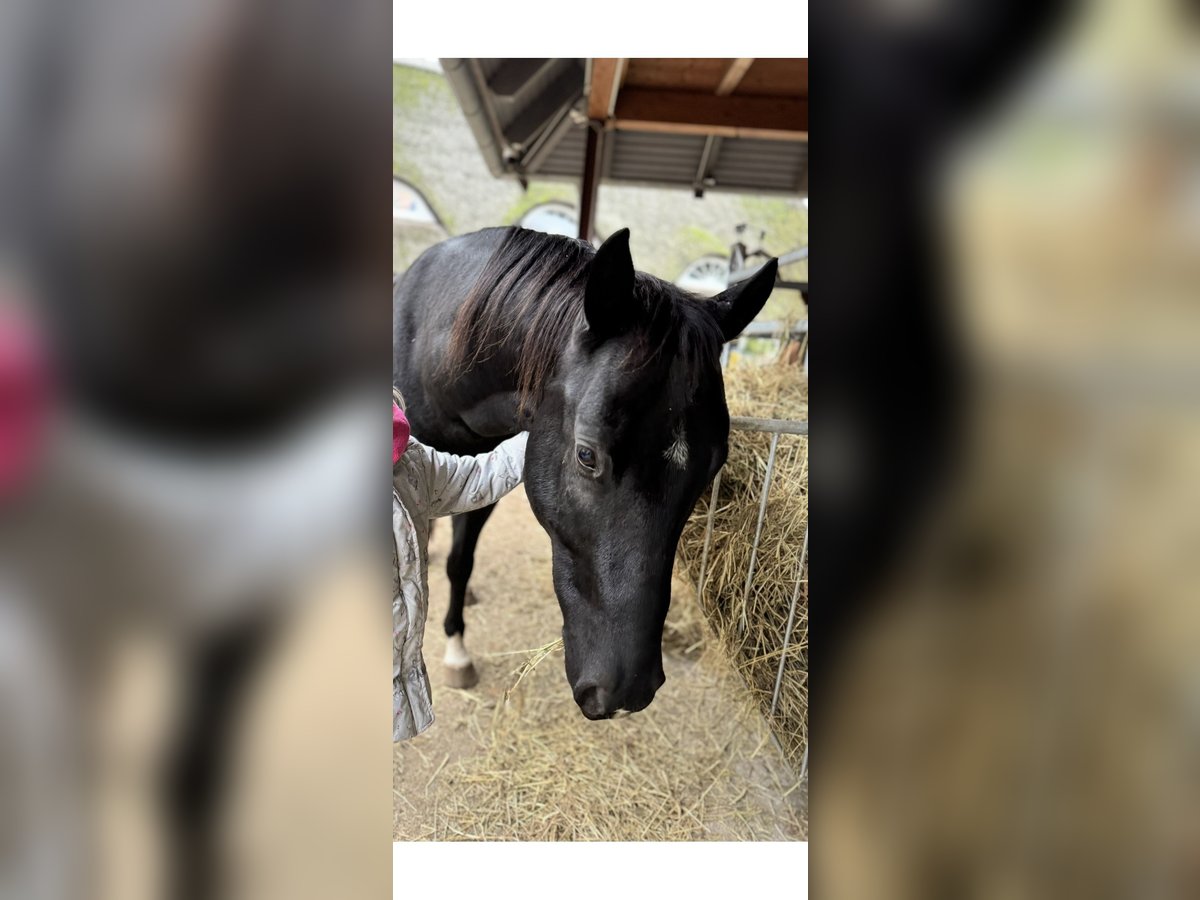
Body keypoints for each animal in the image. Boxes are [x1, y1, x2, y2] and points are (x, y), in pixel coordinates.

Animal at [393, 225, 777, 720]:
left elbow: (462, 561)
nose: (627, 691)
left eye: (712, 467)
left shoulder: (476, 478)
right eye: (586, 456)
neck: (434, 346)